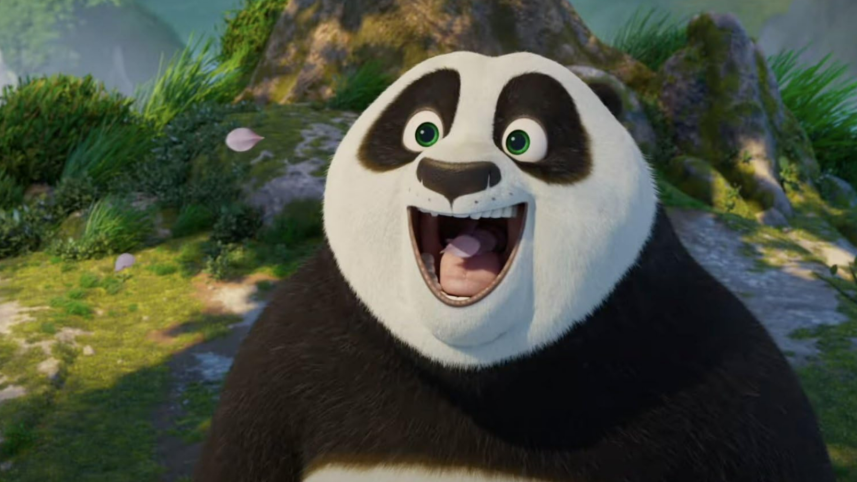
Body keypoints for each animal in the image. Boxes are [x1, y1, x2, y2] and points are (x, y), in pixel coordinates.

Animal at [194, 51, 835, 481]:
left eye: (521, 140)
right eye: (423, 131)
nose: (454, 177)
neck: (473, 367)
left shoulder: (710, 366)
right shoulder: (292, 353)